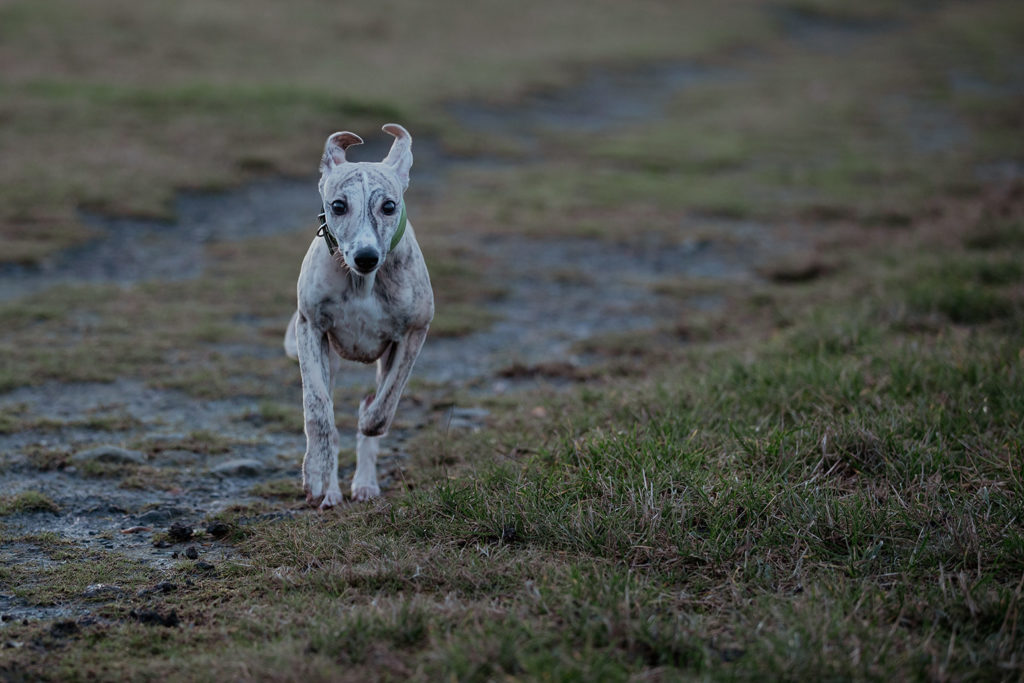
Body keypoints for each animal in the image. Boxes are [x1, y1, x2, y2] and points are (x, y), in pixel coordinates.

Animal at [284, 124, 432, 507]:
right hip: (330, 357)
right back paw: (331, 490)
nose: (366, 256)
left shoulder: (413, 334)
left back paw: (365, 484)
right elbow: (318, 408)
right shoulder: (310, 328)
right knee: (332, 417)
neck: (362, 281)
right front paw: (316, 473)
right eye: (338, 205)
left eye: (389, 206)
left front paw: (368, 417)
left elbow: (384, 406)